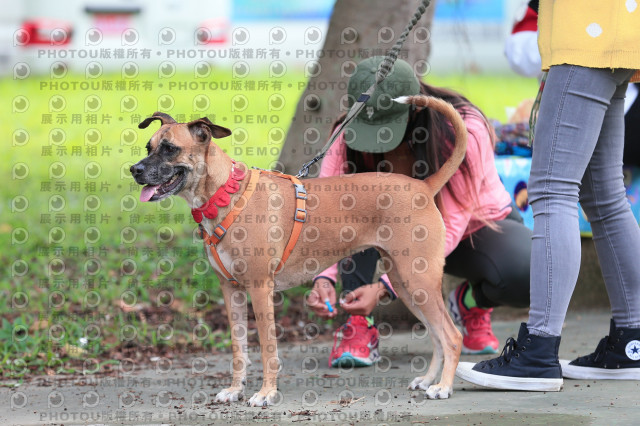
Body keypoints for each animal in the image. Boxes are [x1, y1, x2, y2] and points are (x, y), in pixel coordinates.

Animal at [130, 95, 464, 404]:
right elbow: (239, 349)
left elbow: (267, 349)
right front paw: (235, 390)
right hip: (405, 284)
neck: (226, 194)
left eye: (170, 148)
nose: (134, 170)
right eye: (148, 147)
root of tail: (423, 186)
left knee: (452, 335)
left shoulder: (260, 289)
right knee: (436, 334)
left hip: (418, 280)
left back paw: (443, 386)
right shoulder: (230, 290)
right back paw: (429, 379)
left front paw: (266, 393)